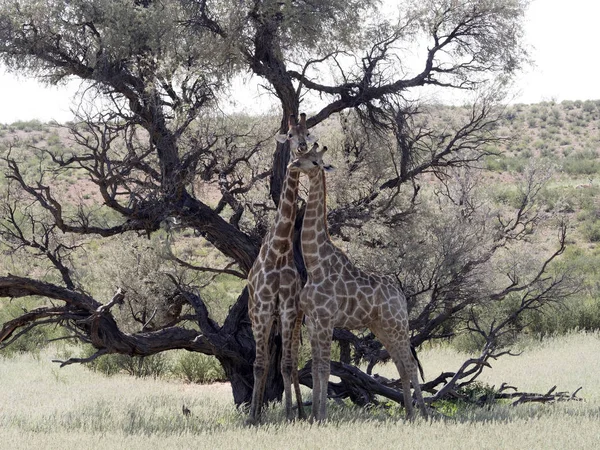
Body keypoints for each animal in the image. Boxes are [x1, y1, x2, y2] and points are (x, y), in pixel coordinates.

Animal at [290, 145, 426, 422]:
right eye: (301, 154)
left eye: (315, 161)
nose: (293, 164)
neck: (314, 264)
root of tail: (400, 295)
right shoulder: (313, 322)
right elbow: (317, 367)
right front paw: (314, 416)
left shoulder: (326, 321)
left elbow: (324, 368)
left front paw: (322, 416)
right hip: (381, 327)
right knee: (401, 365)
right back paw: (409, 414)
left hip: (396, 325)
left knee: (409, 364)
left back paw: (424, 414)